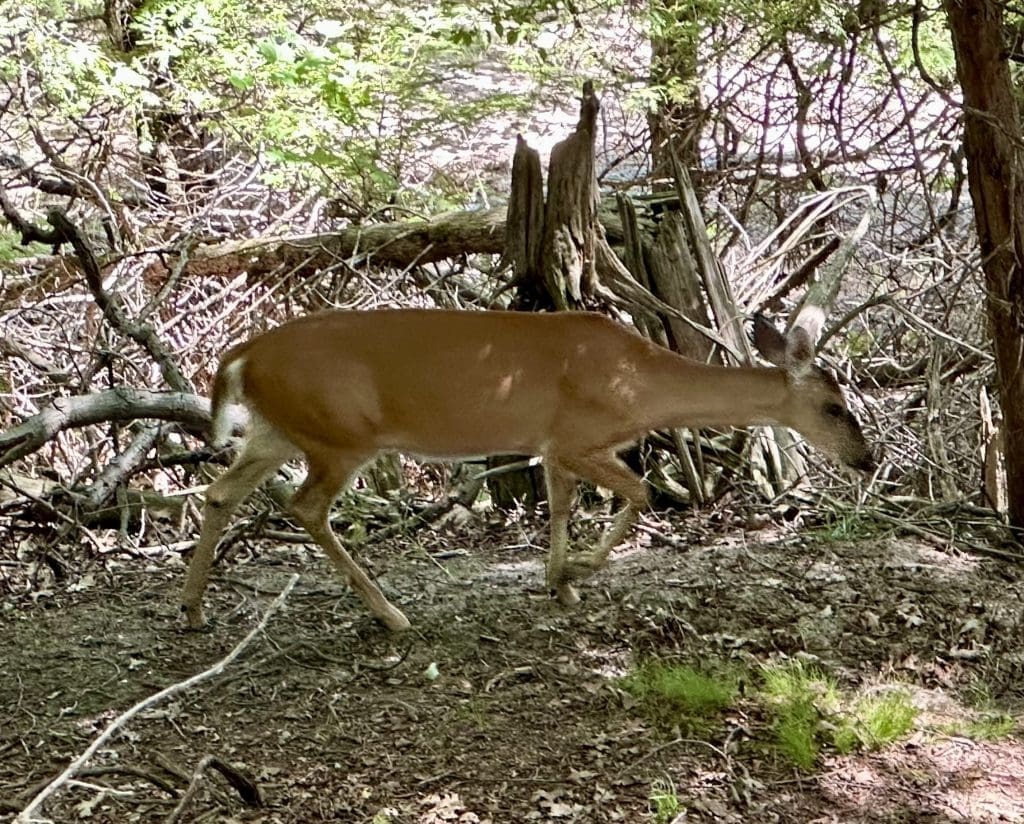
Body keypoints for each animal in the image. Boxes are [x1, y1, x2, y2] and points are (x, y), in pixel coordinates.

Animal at [180, 307, 875, 632]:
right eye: (835, 407)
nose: (866, 459)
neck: (641, 386)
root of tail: (242, 355)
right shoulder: (577, 437)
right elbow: (641, 493)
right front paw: (580, 570)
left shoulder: (551, 445)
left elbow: (564, 504)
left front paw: (559, 583)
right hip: (340, 435)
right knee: (304, 507)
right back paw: (390, 615)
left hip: (277, 431)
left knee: (218, 492)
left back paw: (192, 609)